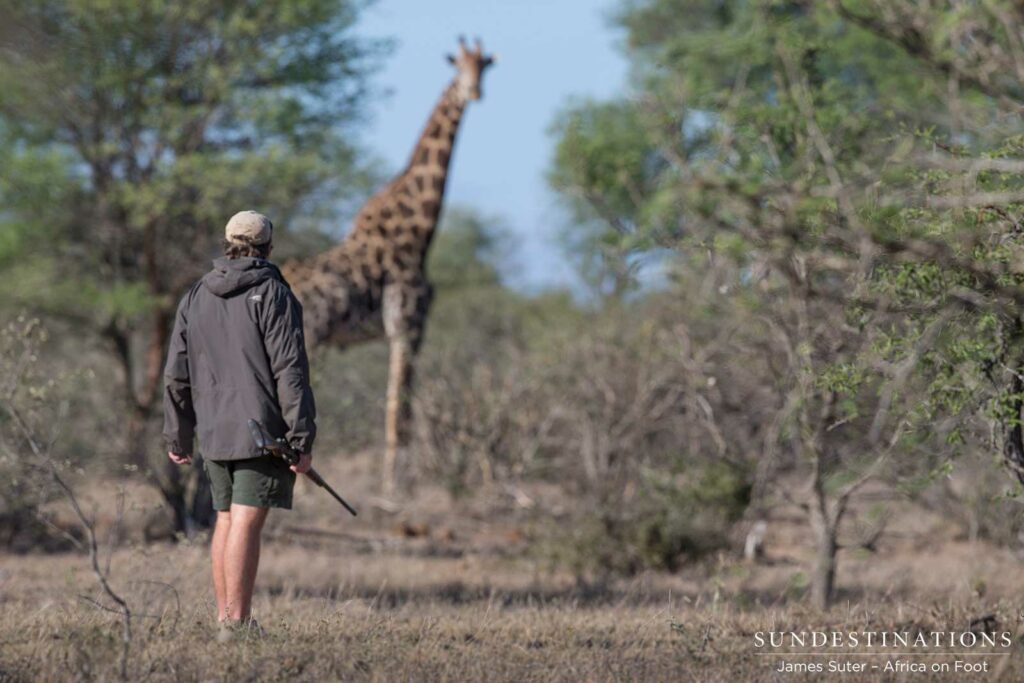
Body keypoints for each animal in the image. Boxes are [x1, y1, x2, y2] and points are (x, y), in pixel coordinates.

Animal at [281, 37, 495, 492]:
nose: (473, 92)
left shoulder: (403, 331)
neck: (418, 232)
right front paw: (394, 486)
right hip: (310, 342)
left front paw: (395, 482)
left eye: (485, 66)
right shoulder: (407, 327)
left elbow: (400, 408)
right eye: (460, 66)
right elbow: (400, 410)